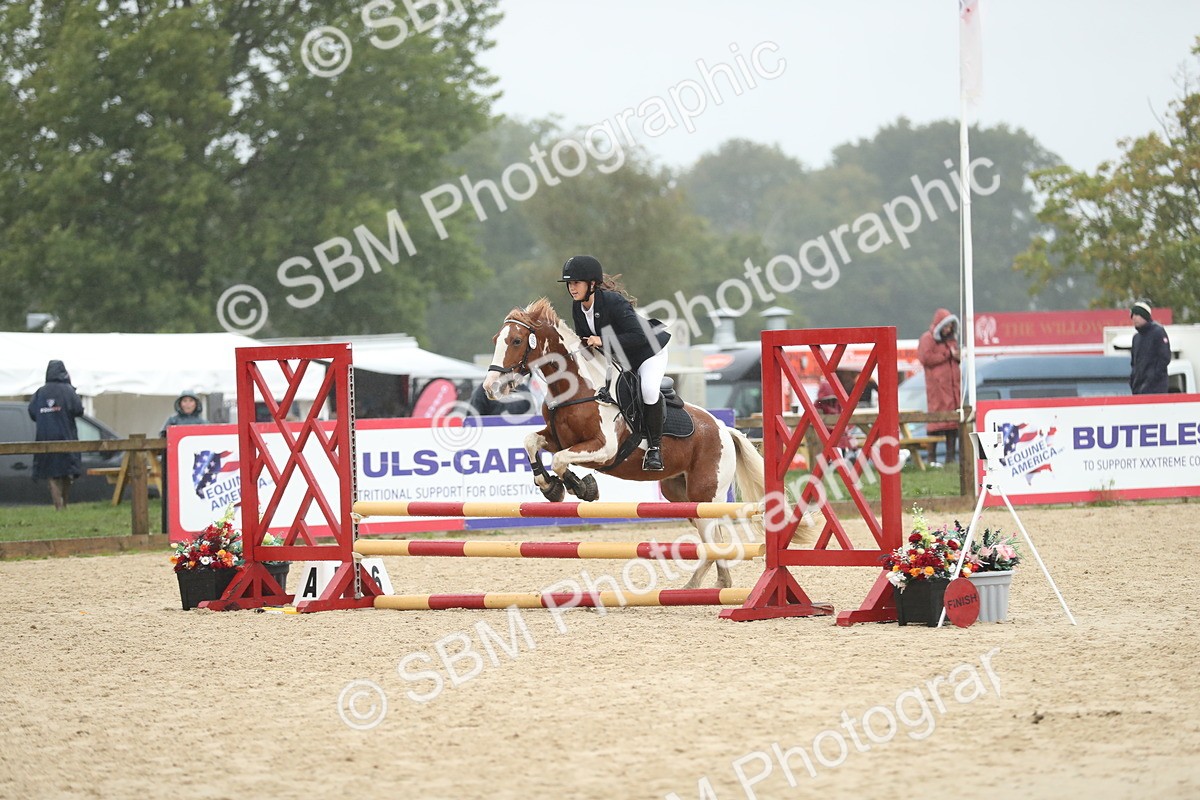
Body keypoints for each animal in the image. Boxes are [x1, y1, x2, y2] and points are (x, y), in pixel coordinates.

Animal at [482, 297, 817, 589]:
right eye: (496, 338)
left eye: (516, 341)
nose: (490, 387)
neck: (578, 387)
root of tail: (724, 429)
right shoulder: (557, 438)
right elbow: (531, 442)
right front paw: (550, 486)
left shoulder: (604, 449)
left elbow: (561, 460)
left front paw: (581, 488)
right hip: (681, 496)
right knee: (713, 541)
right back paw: (706, 586)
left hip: (706, 495)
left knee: (715, 538)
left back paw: (700, 588)